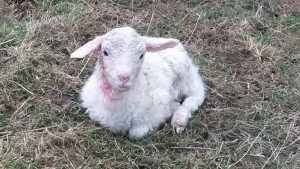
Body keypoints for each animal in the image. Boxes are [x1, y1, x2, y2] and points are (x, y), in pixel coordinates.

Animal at [71, 26, 205, 139]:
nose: (124, 77)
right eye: (105, 52)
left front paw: (172, 107)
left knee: (196, 96)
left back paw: (178, 120)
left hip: (188, 80)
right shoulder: (95, 113)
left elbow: (136, 133)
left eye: (141, 55)